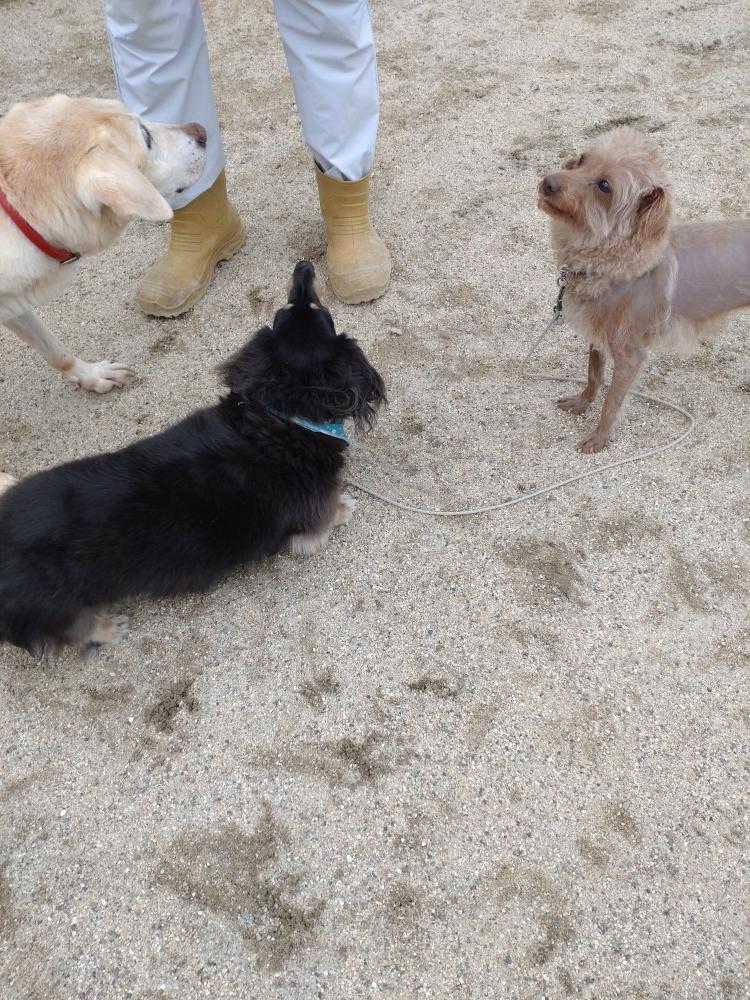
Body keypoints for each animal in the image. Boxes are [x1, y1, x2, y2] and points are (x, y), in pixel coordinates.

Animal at [0, 94, 207, 393]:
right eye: (145, 137)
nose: (201, 131)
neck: (17, 213)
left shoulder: (13, 305)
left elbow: (57, 352)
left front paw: (92, 375)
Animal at [0, 261, 385, 656]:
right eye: (306, 310)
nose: (304, 267)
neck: (279, 420)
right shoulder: (312, 518)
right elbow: (326, 519)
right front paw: (343, 508)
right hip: (55, 605)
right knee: (72, 629)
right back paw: (106, 628)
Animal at [538, 126, 750, 452]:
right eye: (582, 159)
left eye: (605, 186)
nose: (548, 182)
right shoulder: (598, 335)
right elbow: (593, 375)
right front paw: (583, 402)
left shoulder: (630, 355)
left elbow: (612, 401)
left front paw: (600, 438)